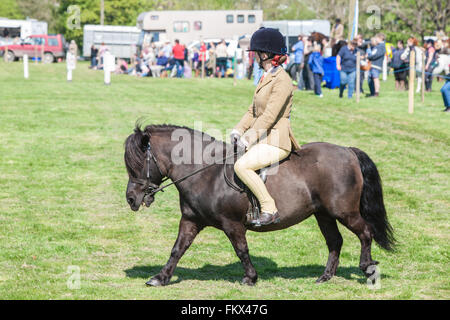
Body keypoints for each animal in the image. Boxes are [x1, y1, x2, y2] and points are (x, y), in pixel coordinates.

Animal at [123, 124, 394, 286]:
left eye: (138, 163)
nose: (131, 199)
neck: (204, 172)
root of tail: (347, 151)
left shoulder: (232, 224)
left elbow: (241, 250)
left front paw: (250, 278)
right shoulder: (190, 221)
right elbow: (177, 249)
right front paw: (160, 277)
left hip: (344, 211)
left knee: (365, 232)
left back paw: (367, 269)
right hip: (323, 214)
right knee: (335, 241)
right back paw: (325, 277)